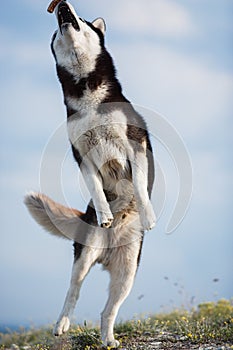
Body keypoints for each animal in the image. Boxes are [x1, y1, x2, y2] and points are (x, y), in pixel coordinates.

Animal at [24, 2, 156, 348]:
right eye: (57, 26)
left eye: (81, 19)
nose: (63, 6)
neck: (89, 98)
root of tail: (107, 252)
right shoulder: (81, 155)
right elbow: (97, 188)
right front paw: (106, 213)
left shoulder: (135, 143)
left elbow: (139, 185)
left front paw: (148, 213)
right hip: (84, 257)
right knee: (73, 291)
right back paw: (61, 324)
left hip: (127, 273)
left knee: (107, 311)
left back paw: (108, 339)